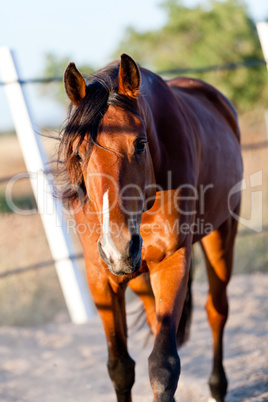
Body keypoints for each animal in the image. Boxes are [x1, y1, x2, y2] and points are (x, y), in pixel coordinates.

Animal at [58, 54, 243, 402]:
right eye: (78, 152)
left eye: (140, 144)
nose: (118, 249)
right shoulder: (100, 277)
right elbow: (120, 367)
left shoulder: (172, 261)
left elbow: (162, 366)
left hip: (222, 235)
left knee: (217, 311)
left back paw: (218, 387)